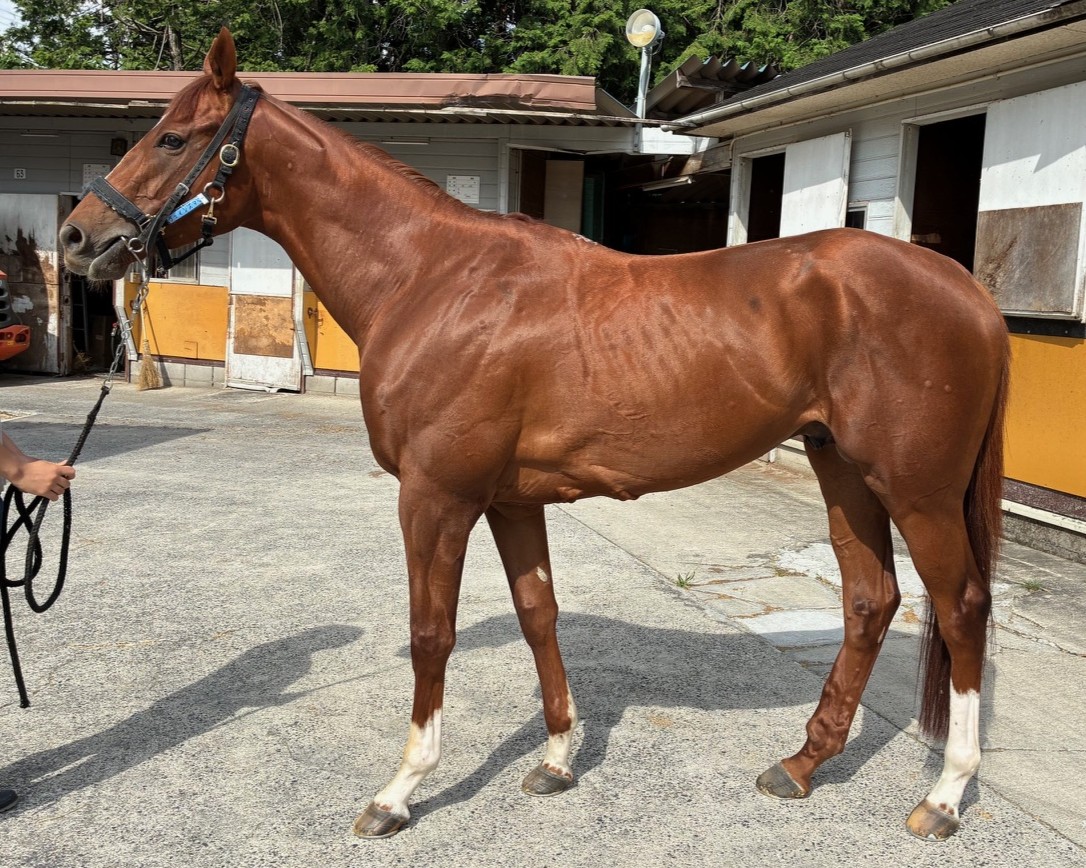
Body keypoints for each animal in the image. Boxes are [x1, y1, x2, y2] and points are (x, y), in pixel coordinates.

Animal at [59, 28, 1009, 842]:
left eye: (174, 139)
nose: (78, 236)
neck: (433, 278)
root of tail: (963, 287)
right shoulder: (511, 501)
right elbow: (537, 614)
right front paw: (556, 759)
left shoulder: (436, 498)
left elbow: (431, 634)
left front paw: (399, 792)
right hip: (840, 467)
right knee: (869, 600)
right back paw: (803, 763)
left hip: (916, 489)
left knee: (961, 608)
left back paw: (944, 796)